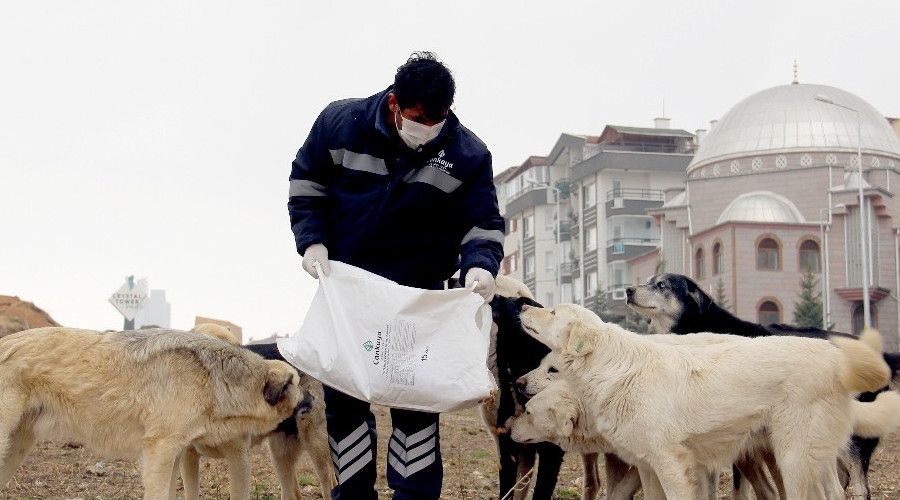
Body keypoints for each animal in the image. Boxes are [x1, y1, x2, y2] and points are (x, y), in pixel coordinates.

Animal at [0, 328, 306, 500]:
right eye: (298, 385)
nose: (312, 401)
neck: (212, 377)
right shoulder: (160, 451)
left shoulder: (176, 454)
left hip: (16, 447)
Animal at [516, 302, 888, 500]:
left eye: (552, 312)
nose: (523, 305)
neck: (614, 369)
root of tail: (837, 359)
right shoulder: (647, 466)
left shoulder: (672, 464)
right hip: (804, 457)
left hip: (794, 459)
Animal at [624, 274, 900, 500]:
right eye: (648, 281)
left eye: (662, 285)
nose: (627, 290)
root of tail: (880, 357)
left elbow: (739, 490)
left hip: (846, 440)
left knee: (859, 487)